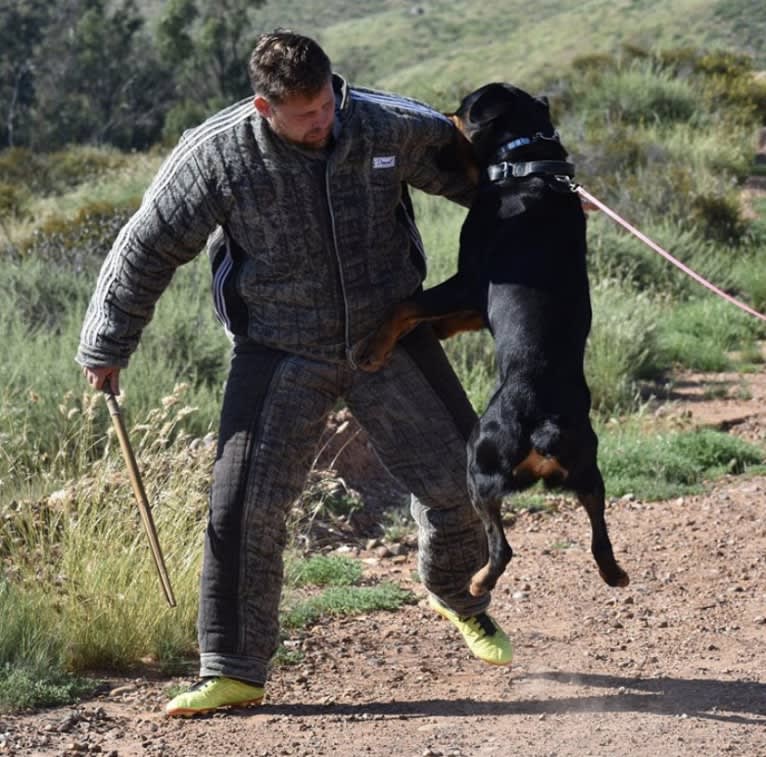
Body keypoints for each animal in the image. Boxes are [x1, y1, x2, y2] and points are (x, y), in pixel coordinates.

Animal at [358, 79, 632, 592]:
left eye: (461, 111)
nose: (440, 120)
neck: (525, 163)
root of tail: (542, 425)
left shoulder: (469, 279)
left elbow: (405, 305)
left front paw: (372, 349)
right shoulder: (474, 300)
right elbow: (442, 317)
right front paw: (434, 330)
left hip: (478, 466)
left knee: (502, 547)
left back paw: (480, 580)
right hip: (589, 472)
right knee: (599, 536)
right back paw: (614, 574)